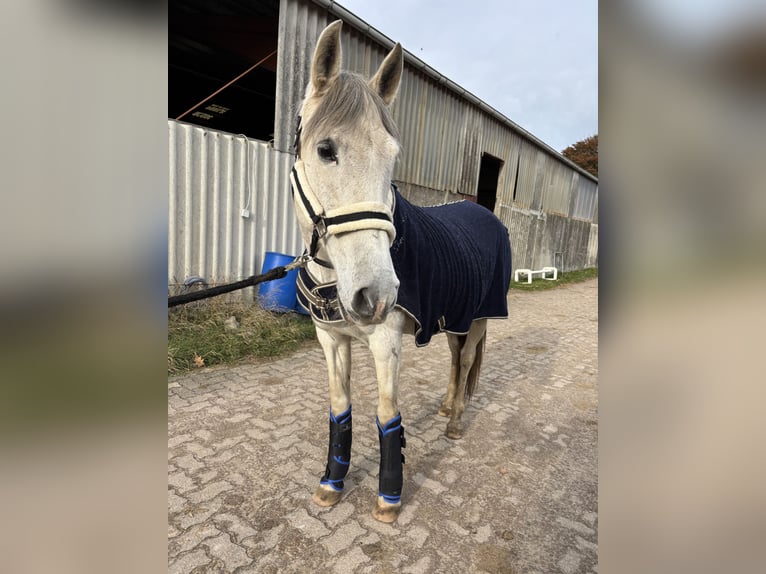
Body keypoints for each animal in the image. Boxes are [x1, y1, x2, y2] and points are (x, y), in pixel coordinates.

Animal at [290, 20, 512, 523]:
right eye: (325, 149)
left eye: (391, 154)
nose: (376, 295)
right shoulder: (330, 340)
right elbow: (340, 410)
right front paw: (331, 484)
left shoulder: (385, 341)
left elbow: (388, 415)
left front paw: (389, 498)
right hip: (455, 318)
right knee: (454, 360)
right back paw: (447, 405)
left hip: (480, 317)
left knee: (465, 362)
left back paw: (454, 422)